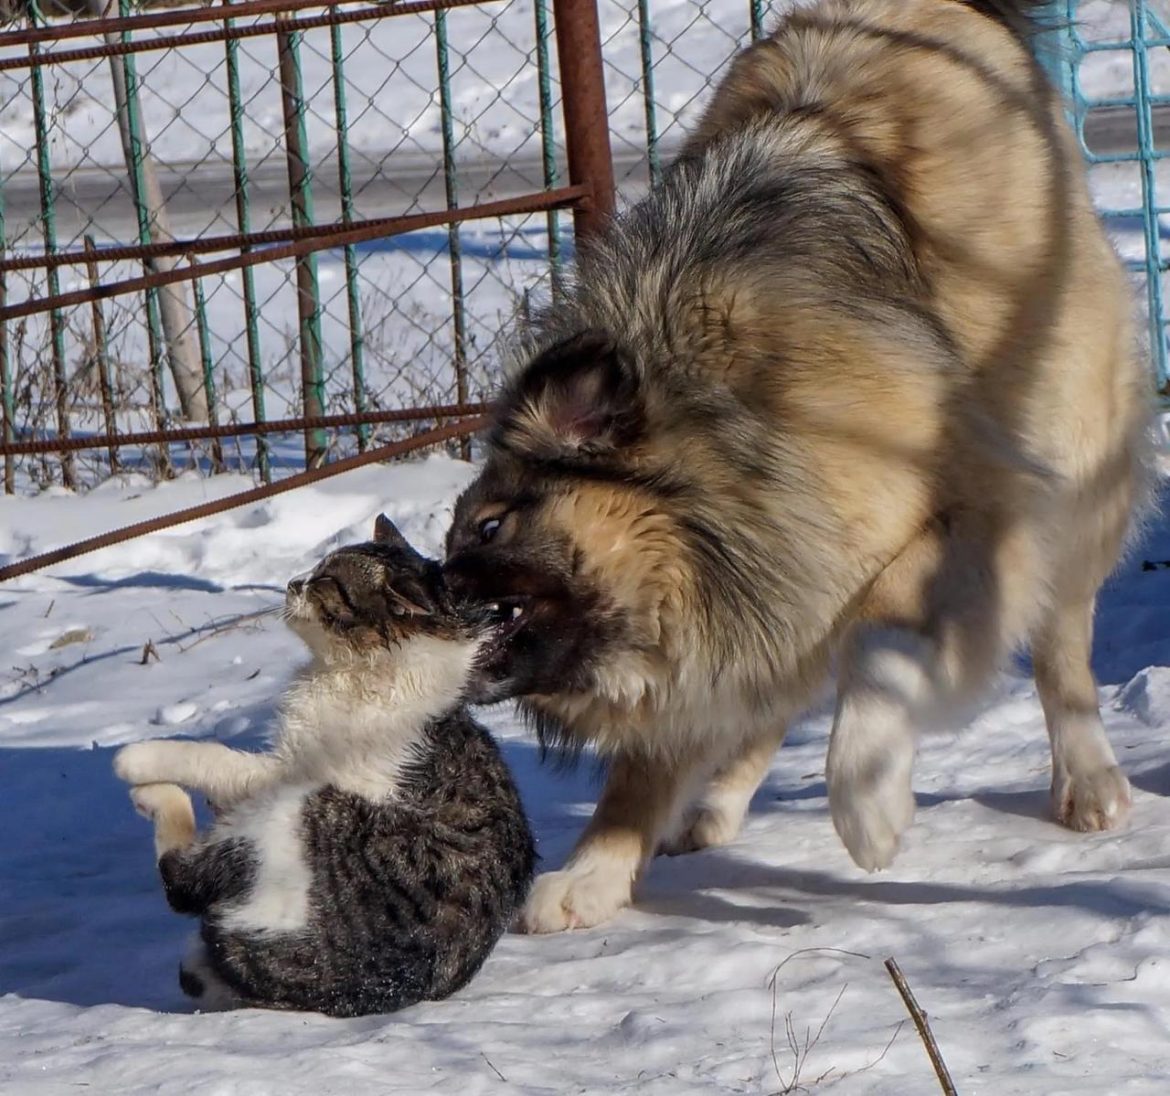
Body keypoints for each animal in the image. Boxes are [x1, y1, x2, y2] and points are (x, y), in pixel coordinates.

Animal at [114, 514, 535, 1019]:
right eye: (314, 570)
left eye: (326, 582)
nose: (294, 582)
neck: (359, 671)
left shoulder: (289, 770)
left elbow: (217, 758)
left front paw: (138, 758)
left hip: (294, 813)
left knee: (180, 880)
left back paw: (150, 792)